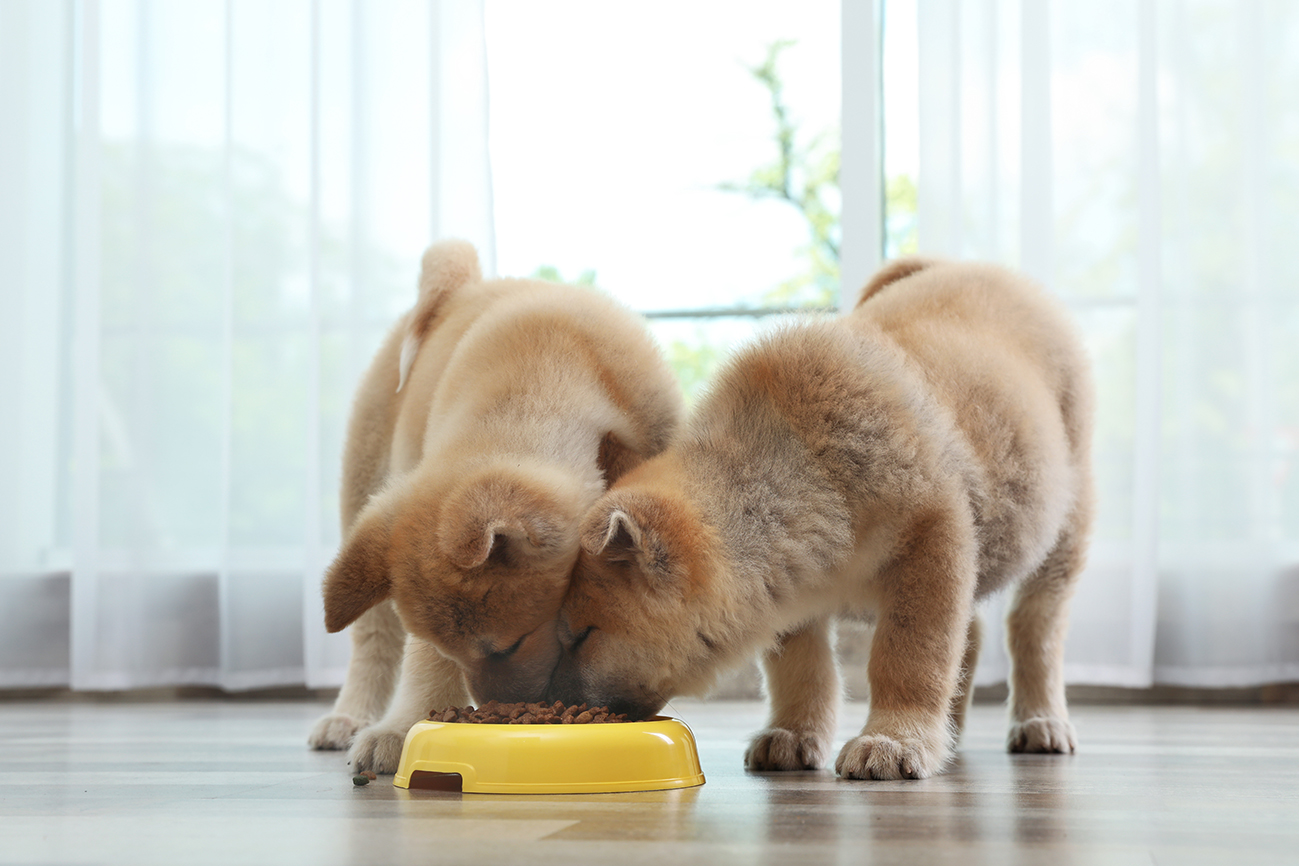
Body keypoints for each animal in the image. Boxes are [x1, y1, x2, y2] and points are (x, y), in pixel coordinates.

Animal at [309, 240, 685, 773]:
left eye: (512, 645)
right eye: (458, 652)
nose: (495, 711)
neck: (544, 370)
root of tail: (460, 289)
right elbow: (422, 660)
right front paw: (404, 728)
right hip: (364, 495)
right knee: (372, 638)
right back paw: (351, 717)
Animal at [545, 257, 1096, 779]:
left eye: (582, 635)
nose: (556, 705)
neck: (807, 467)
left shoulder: (932, 545)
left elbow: (909, 658)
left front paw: (894, 740)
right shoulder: (790, 591)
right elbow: (802, 670)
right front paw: (792, 734)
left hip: (1063, 535)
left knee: (1035, 630)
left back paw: (1040, 721)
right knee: (975, 633)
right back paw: (952, 735)